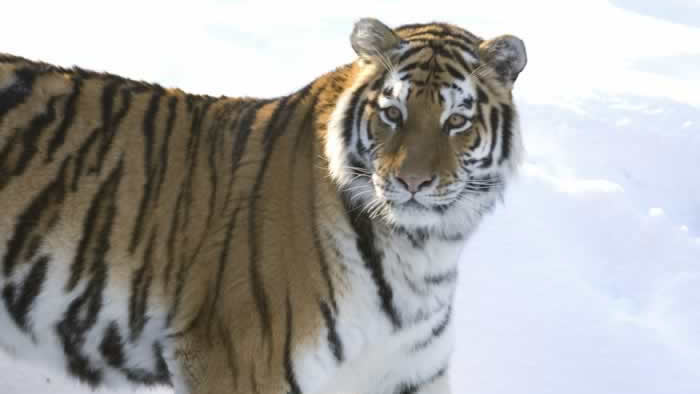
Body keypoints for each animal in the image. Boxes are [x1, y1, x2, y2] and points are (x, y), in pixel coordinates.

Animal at [0, 16, 524, 392]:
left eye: (456, 121)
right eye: (393, 113)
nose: (411, 181)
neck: (423, 253)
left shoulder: (409, 371)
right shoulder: (237, 361)